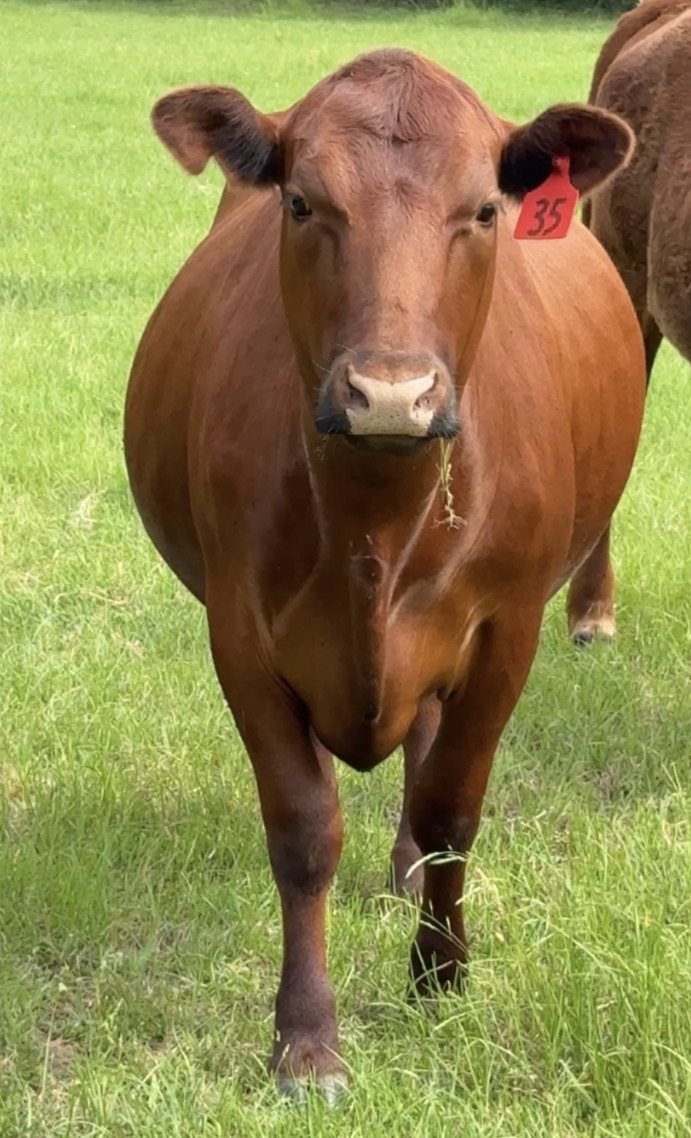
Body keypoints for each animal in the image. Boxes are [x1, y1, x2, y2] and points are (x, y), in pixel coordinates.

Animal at [124, 49, 645, 1098]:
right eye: (301, 203)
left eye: (483, 209)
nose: (391, 394)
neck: (376, 511)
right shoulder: (241, 636)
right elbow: (303, 830)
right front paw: (305, 1041)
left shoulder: (508, 629)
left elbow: (452, 804)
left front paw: (439, 978)